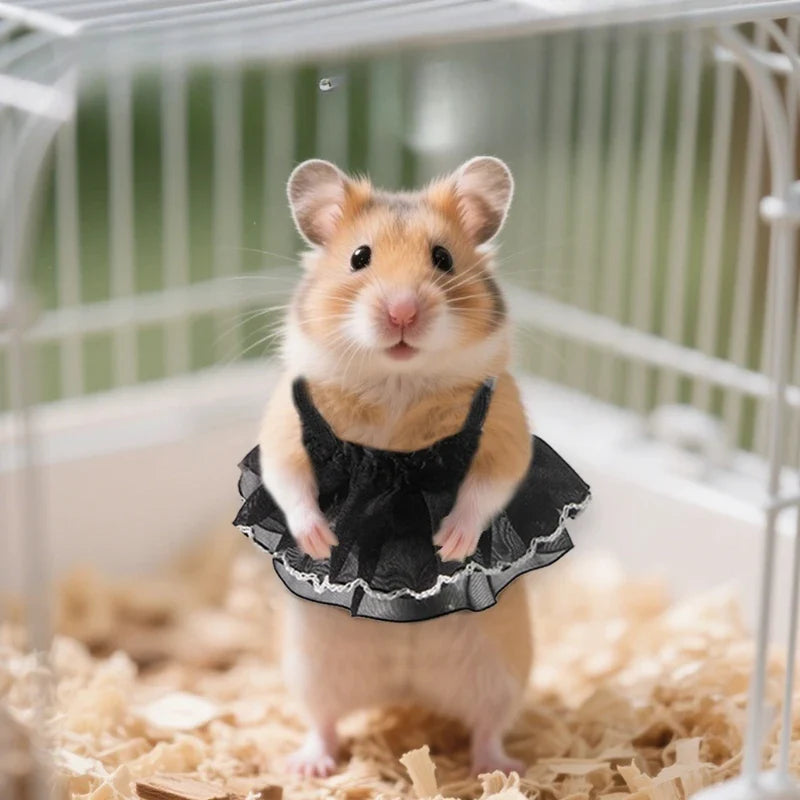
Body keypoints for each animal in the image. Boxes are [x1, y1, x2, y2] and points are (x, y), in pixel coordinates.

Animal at [258, 157, 533, 777]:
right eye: (359, 257)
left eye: (443, 258)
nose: (402, 311)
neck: (397, 381)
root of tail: (406, 691)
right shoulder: (284, 425)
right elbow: (287, 480)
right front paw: (321, 541)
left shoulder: (506, 429)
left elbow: (487, 488)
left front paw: (449, 544)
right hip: (312, 670)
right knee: (323, 722)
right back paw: (308, 766)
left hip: (504, 671)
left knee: (489, 726)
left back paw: (498, 770)